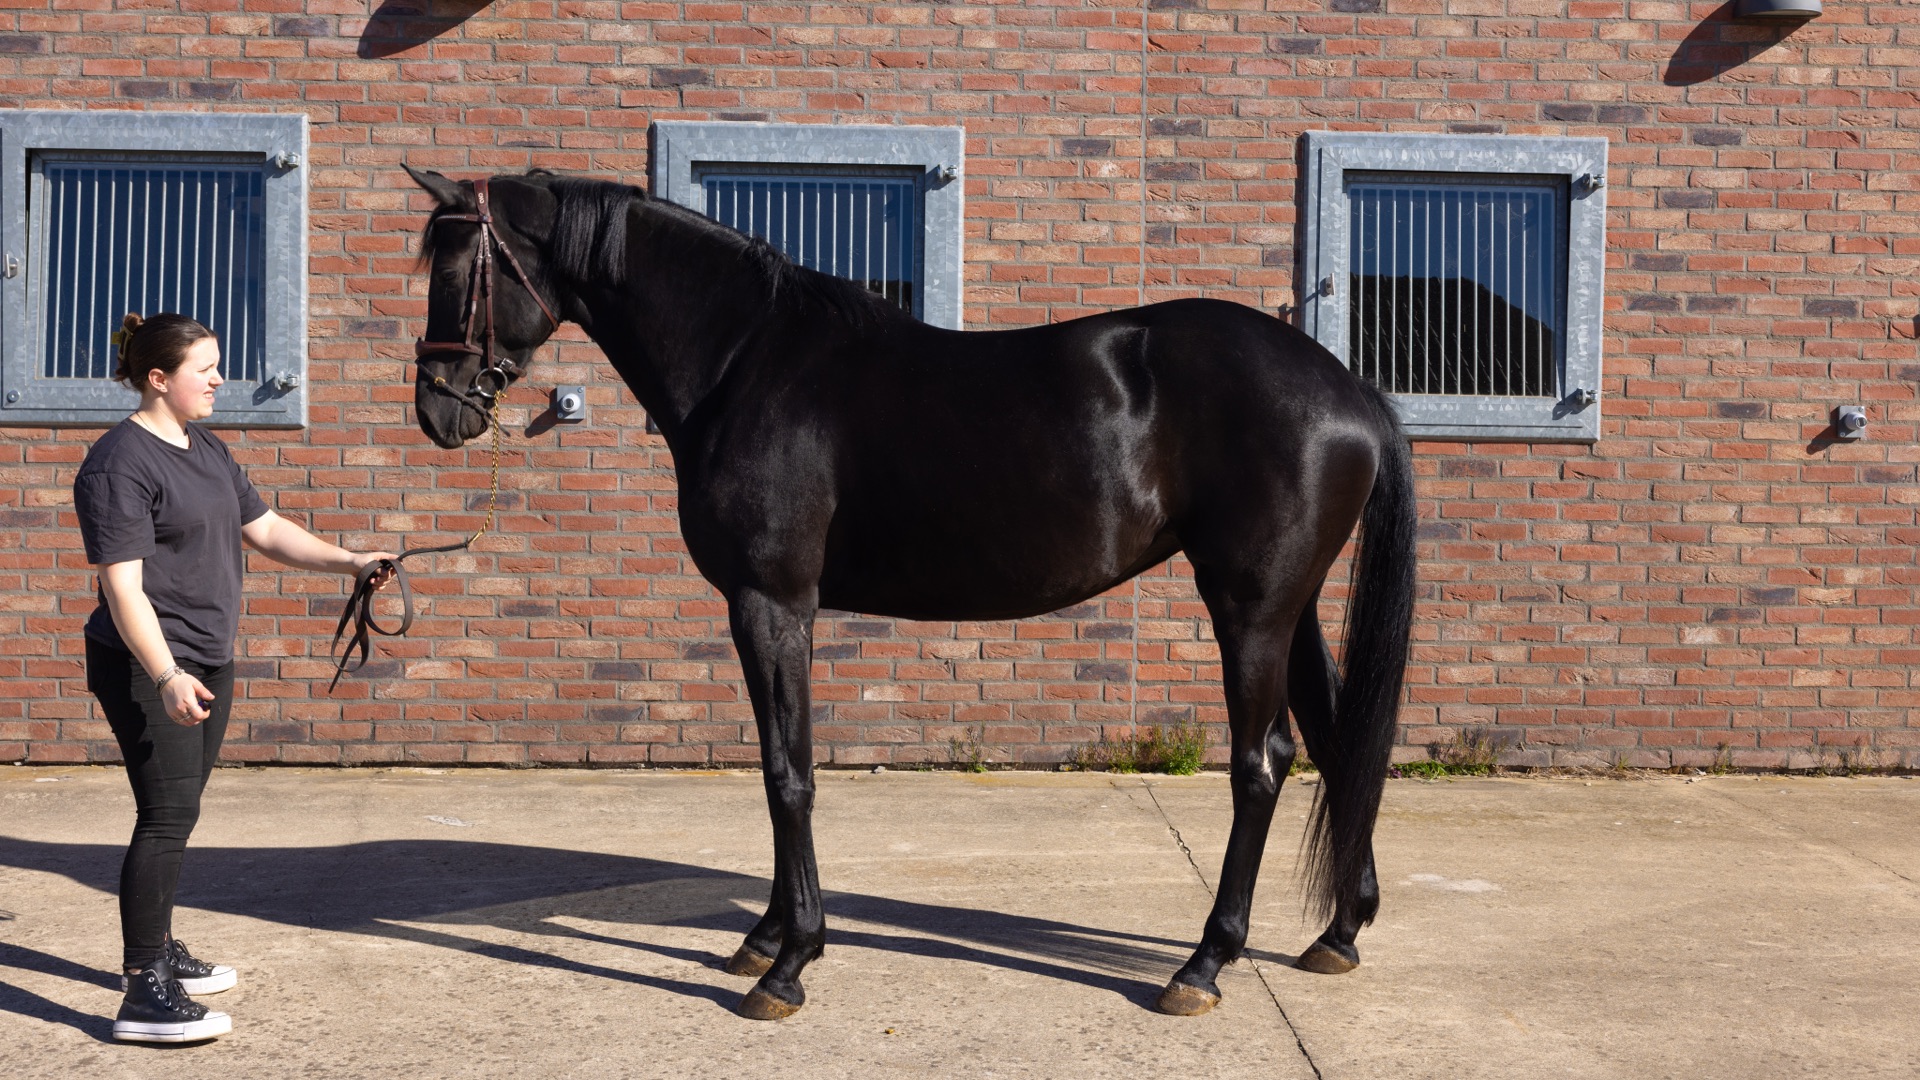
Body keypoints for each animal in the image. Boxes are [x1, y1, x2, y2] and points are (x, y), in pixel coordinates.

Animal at [402, 166, 1418, 1021]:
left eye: (459, 271)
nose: (437, 410)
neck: (746, 360)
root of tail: (1349, 389)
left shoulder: (771, 602)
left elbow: (787, 774)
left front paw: (789, 963)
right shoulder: (765, 607)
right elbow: (781, 766)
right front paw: (765, 935)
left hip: (1249, 609)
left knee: (1260, 765)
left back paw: (1203, 965)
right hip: (1288, 608)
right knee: (1334, 744)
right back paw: (1336, 933)